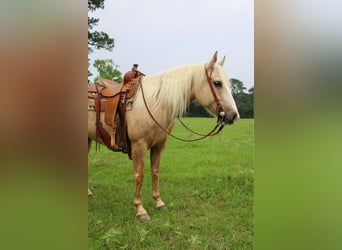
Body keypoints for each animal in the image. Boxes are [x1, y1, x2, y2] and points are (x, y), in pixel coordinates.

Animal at [87, 51, 238, 221]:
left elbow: (155, 172)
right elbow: (139, 175)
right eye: (217, 83)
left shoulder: (159, 145)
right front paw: (140, 210)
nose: (234, 116)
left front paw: (159, 202)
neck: (156, 103)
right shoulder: (139, 146)